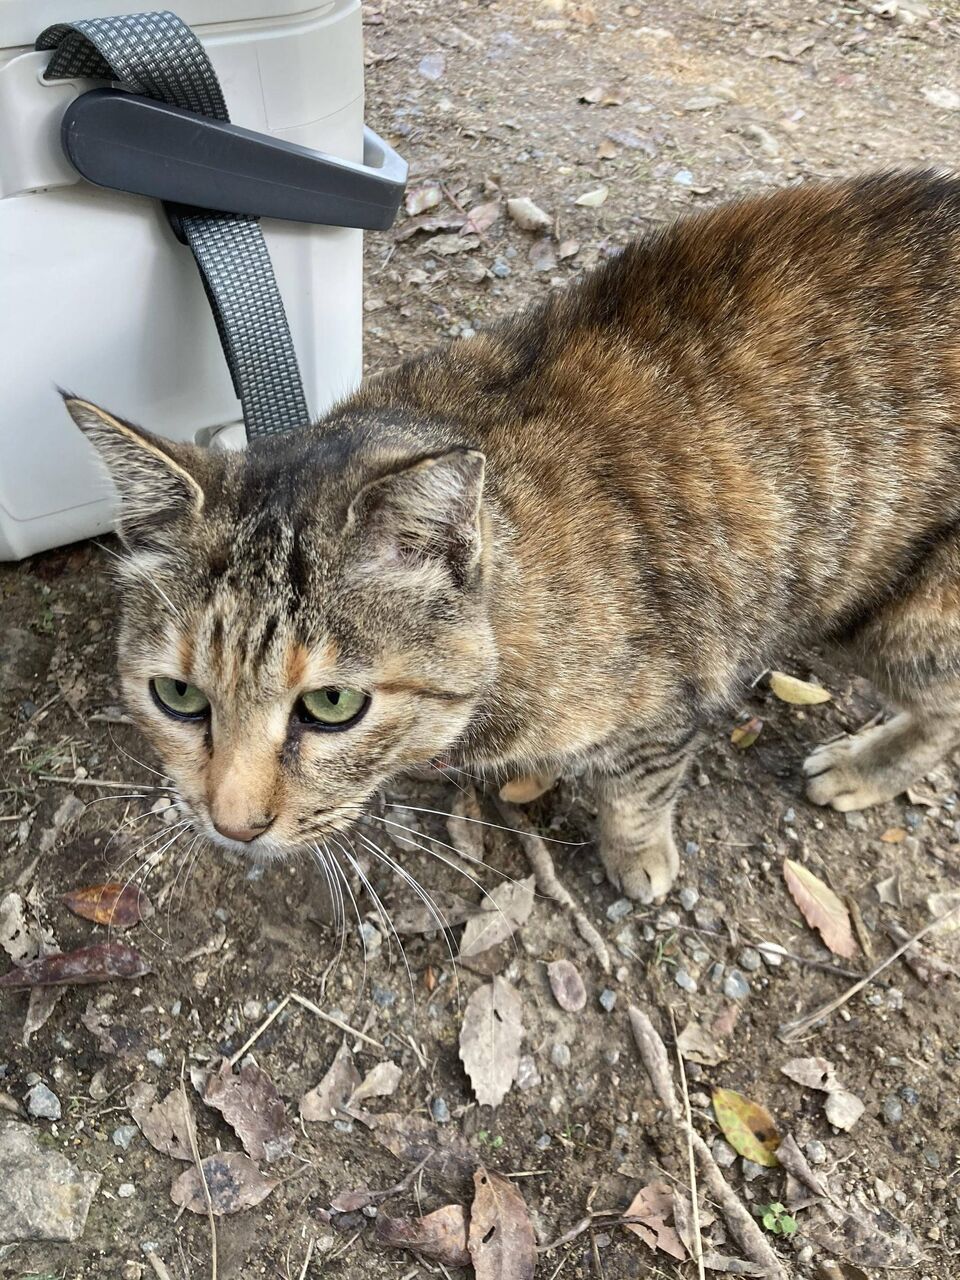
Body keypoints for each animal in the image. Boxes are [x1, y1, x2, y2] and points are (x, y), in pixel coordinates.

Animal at [66, 169, 960, 903]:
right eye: (178, 697)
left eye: (332, 705)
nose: (232, 824)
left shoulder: (663, 703)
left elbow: (639, 788)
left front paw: (638, 854)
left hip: (912, 619)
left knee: (942, 714)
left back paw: (863, 767)